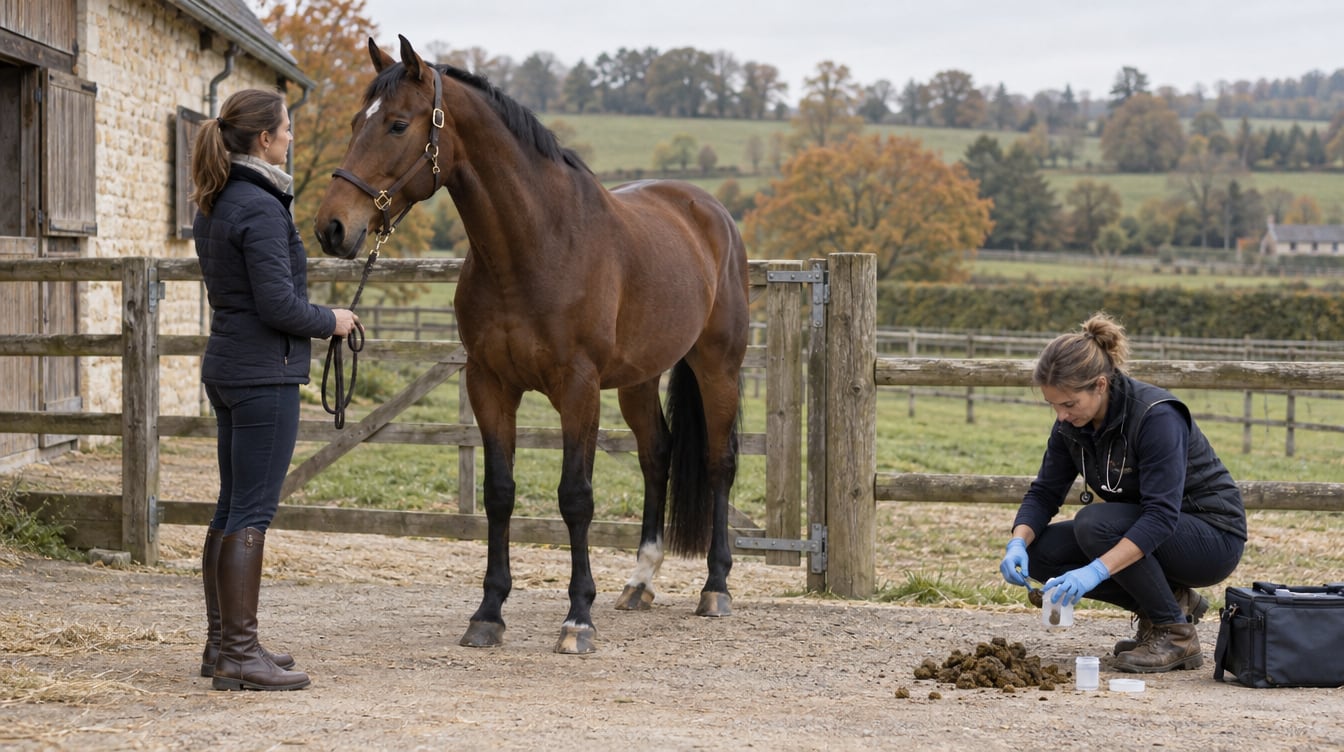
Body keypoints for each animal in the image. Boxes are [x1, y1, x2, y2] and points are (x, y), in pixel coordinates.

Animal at [313, 36, 750, 654]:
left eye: (397, 124)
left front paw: (577, 618)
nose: (331, 228)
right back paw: (640, 581)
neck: (537, 245)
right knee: (656, 455)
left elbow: (576, 497)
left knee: (718, 462)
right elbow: (500, 492)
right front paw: (488, 614)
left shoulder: (578, 389)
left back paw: (715, 588)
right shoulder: (489, 384)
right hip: (640, 378)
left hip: (717, 366)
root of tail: (709, 211)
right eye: (356, 121)